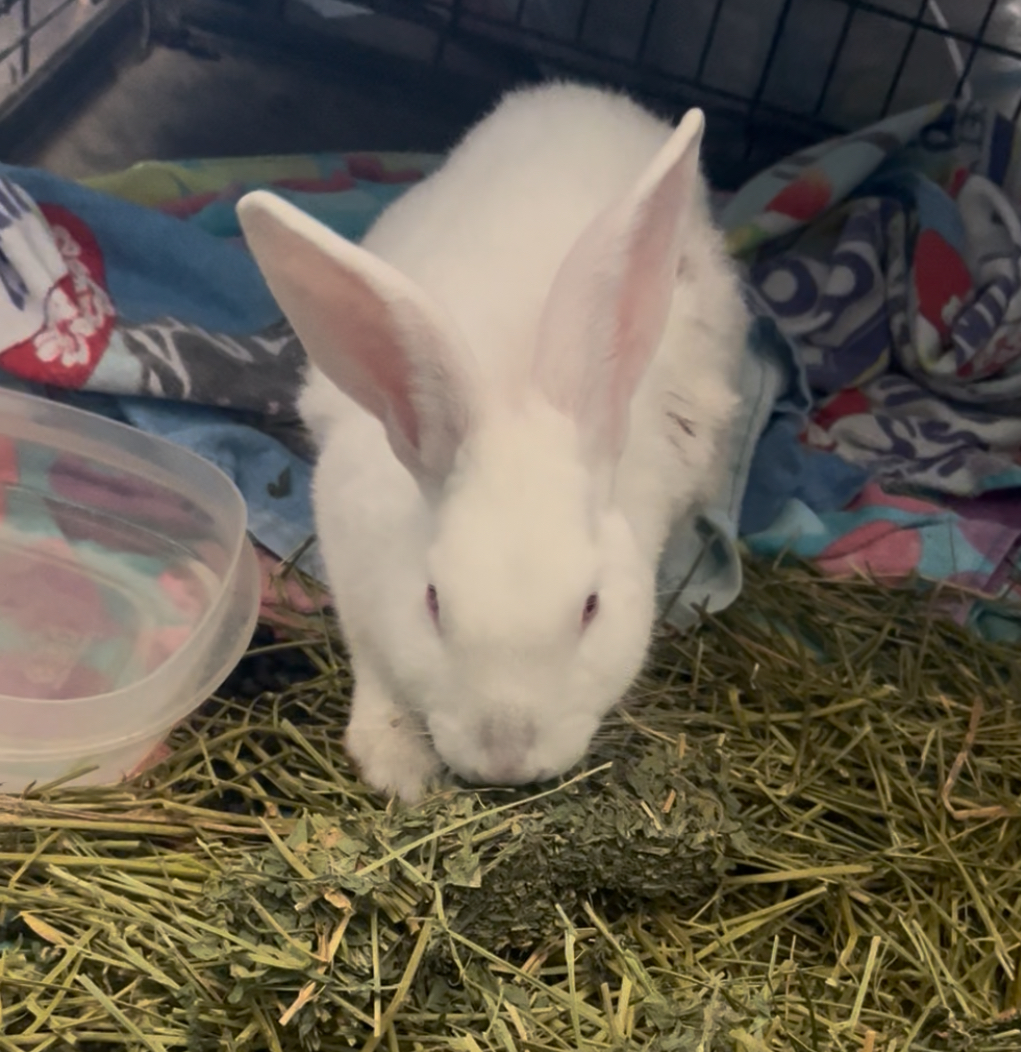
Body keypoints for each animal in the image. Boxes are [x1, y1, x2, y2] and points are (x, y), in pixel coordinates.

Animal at [236, 81, 749, 802]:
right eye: (433, 602)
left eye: (591, 607)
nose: (506, 760)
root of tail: (576, 92)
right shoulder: (347, 553)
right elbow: (373, 662)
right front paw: (397, 764)